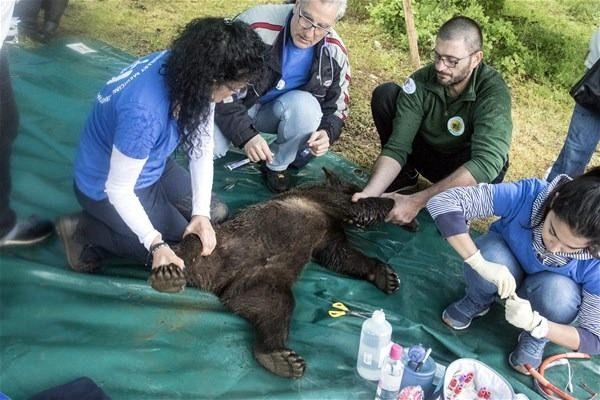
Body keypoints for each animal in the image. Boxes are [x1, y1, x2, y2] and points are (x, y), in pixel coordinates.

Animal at [149, 169, 400, 378]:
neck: (328, 217)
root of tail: (215, 285)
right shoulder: (322, 201)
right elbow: (346, 207)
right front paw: (381, 203)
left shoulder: (326, 234)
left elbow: (342, 256)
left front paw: (387, 277)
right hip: (215, 243)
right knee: (191, 244)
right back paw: (167, 275)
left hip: (261, 284)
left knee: (275, 310)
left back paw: (281, 359)